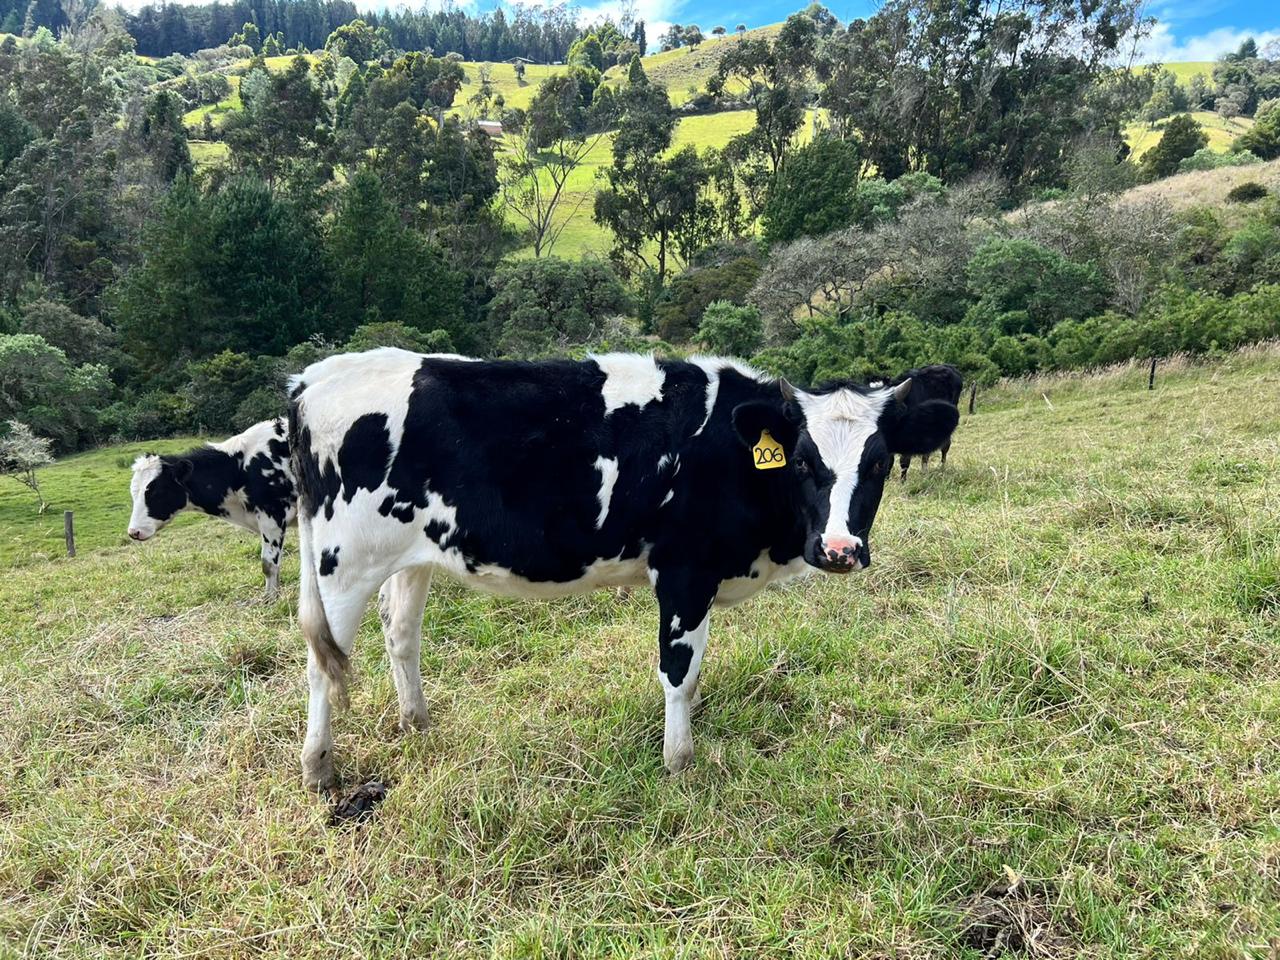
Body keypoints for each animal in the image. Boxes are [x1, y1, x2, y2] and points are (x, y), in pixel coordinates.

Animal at [127, 418, 297, 598]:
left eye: (156, 492)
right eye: (133, 493)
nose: (133, 532)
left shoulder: (272, 515)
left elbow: (268, 564)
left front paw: (270, 599)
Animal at [287, 349, 959, 789]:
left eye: (879, 463)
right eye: (799, 461)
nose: (840, 549)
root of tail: (315, 378)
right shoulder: (685, 572)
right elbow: (680, 674)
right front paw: (678, 764)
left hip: (409, 556)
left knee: (400, 635)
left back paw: (417, 725)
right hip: (342, 564)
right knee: (323, 665)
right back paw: (319, 768)